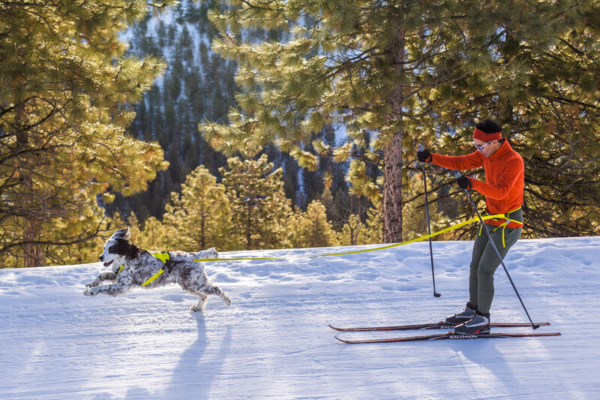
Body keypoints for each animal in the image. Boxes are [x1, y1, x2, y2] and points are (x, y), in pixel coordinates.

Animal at [84, 227, 232, 310]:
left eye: (112, 249)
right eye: (104, 248)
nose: (100, 257)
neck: (128, 259)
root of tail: (194, 255)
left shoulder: (122, 286)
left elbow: (104, 287)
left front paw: (91, 291)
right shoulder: (117, 278)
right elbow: (102, 275)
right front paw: (92, 283)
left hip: (197, 283)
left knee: (215, 289)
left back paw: (227, 301)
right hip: (188, 285)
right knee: (204, 296)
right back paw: (198, 307)